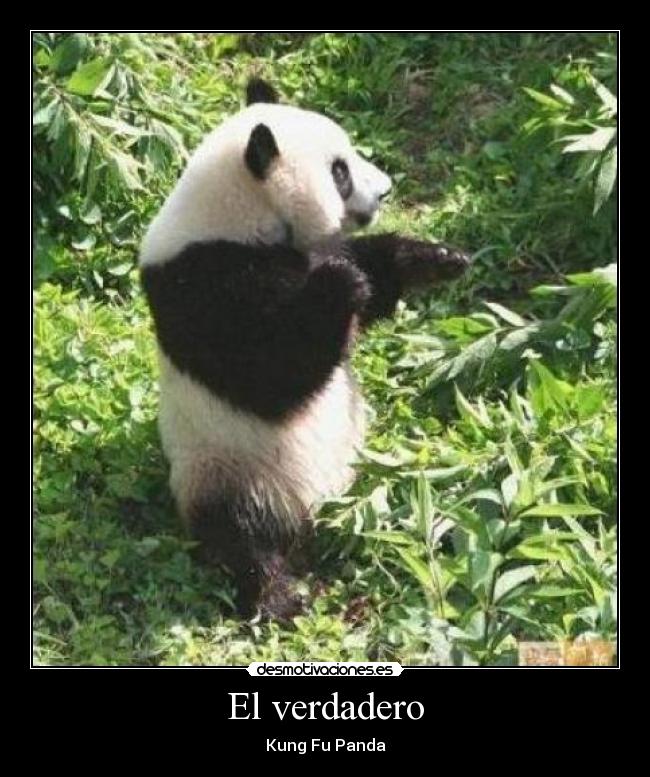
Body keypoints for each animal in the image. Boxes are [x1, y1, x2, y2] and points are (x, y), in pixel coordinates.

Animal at [139, 78, 470, 620]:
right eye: (339, 172)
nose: (385, 189)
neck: (238, 215)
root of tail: (313, 517)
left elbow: (368, 277)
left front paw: (435, 258)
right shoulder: (202, 283)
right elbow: (267, 375)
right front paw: (340, 286)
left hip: (363, 477)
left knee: (398, 504)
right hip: (226, 468)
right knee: (240, 537)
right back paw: (278, 596)